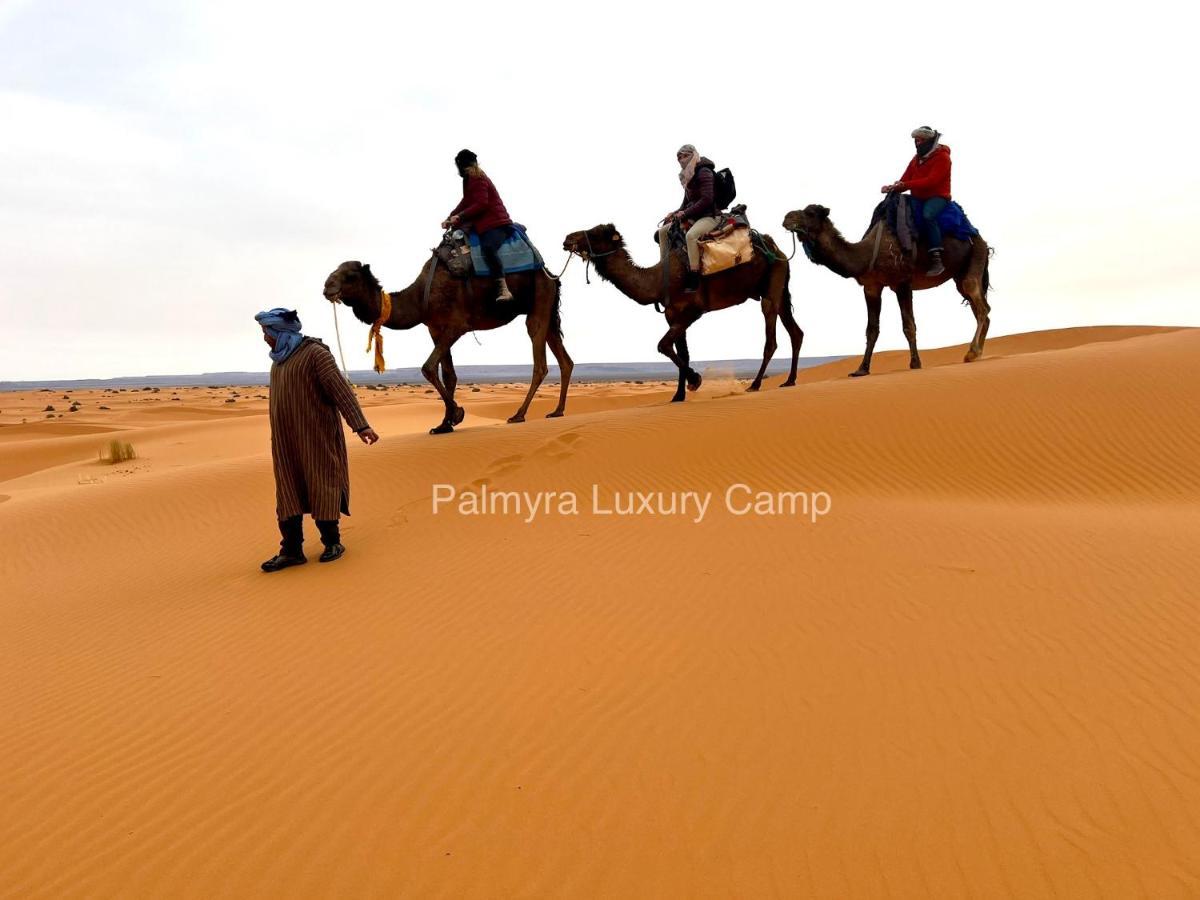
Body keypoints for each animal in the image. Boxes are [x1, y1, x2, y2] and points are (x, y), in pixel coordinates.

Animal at [324, 259, 571, 434]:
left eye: (350, 275)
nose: (327, 287)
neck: (419, 298)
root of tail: (553, 277)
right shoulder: (435, 329)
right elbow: (448, 374)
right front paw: (444, 424)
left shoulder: (456, 326)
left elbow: (428, 368)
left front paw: (457, 413)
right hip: (547, 310)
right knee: (565, 360)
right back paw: (557, 411)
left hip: (539, 301)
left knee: (539, 359)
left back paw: (519, 414)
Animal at [561, 224, 806, 403]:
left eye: (594, 233)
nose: (567, 239)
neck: (658, 281)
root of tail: (777, 249)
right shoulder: (673, 316)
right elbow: (681, 352)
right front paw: (678, 395)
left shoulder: (692, 311)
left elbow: (663, 345)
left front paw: (695, 380)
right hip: (778, 285)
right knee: (795, 330)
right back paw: (790, 380)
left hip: (772, 283)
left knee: (771, 334)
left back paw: (755, 384)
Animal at [777, 204, 993, 376]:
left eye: (811, 213)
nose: (787, 217)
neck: (866, 255)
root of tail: (981, 238)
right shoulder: (871, 287)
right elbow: (872, 329)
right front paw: (861, 369)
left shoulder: (902, 282)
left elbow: (908, 325)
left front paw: (915, 363)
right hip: (960, 274)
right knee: (981, 308)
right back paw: (978, 353)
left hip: (975, 258)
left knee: (980, 305)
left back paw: (972, 353)